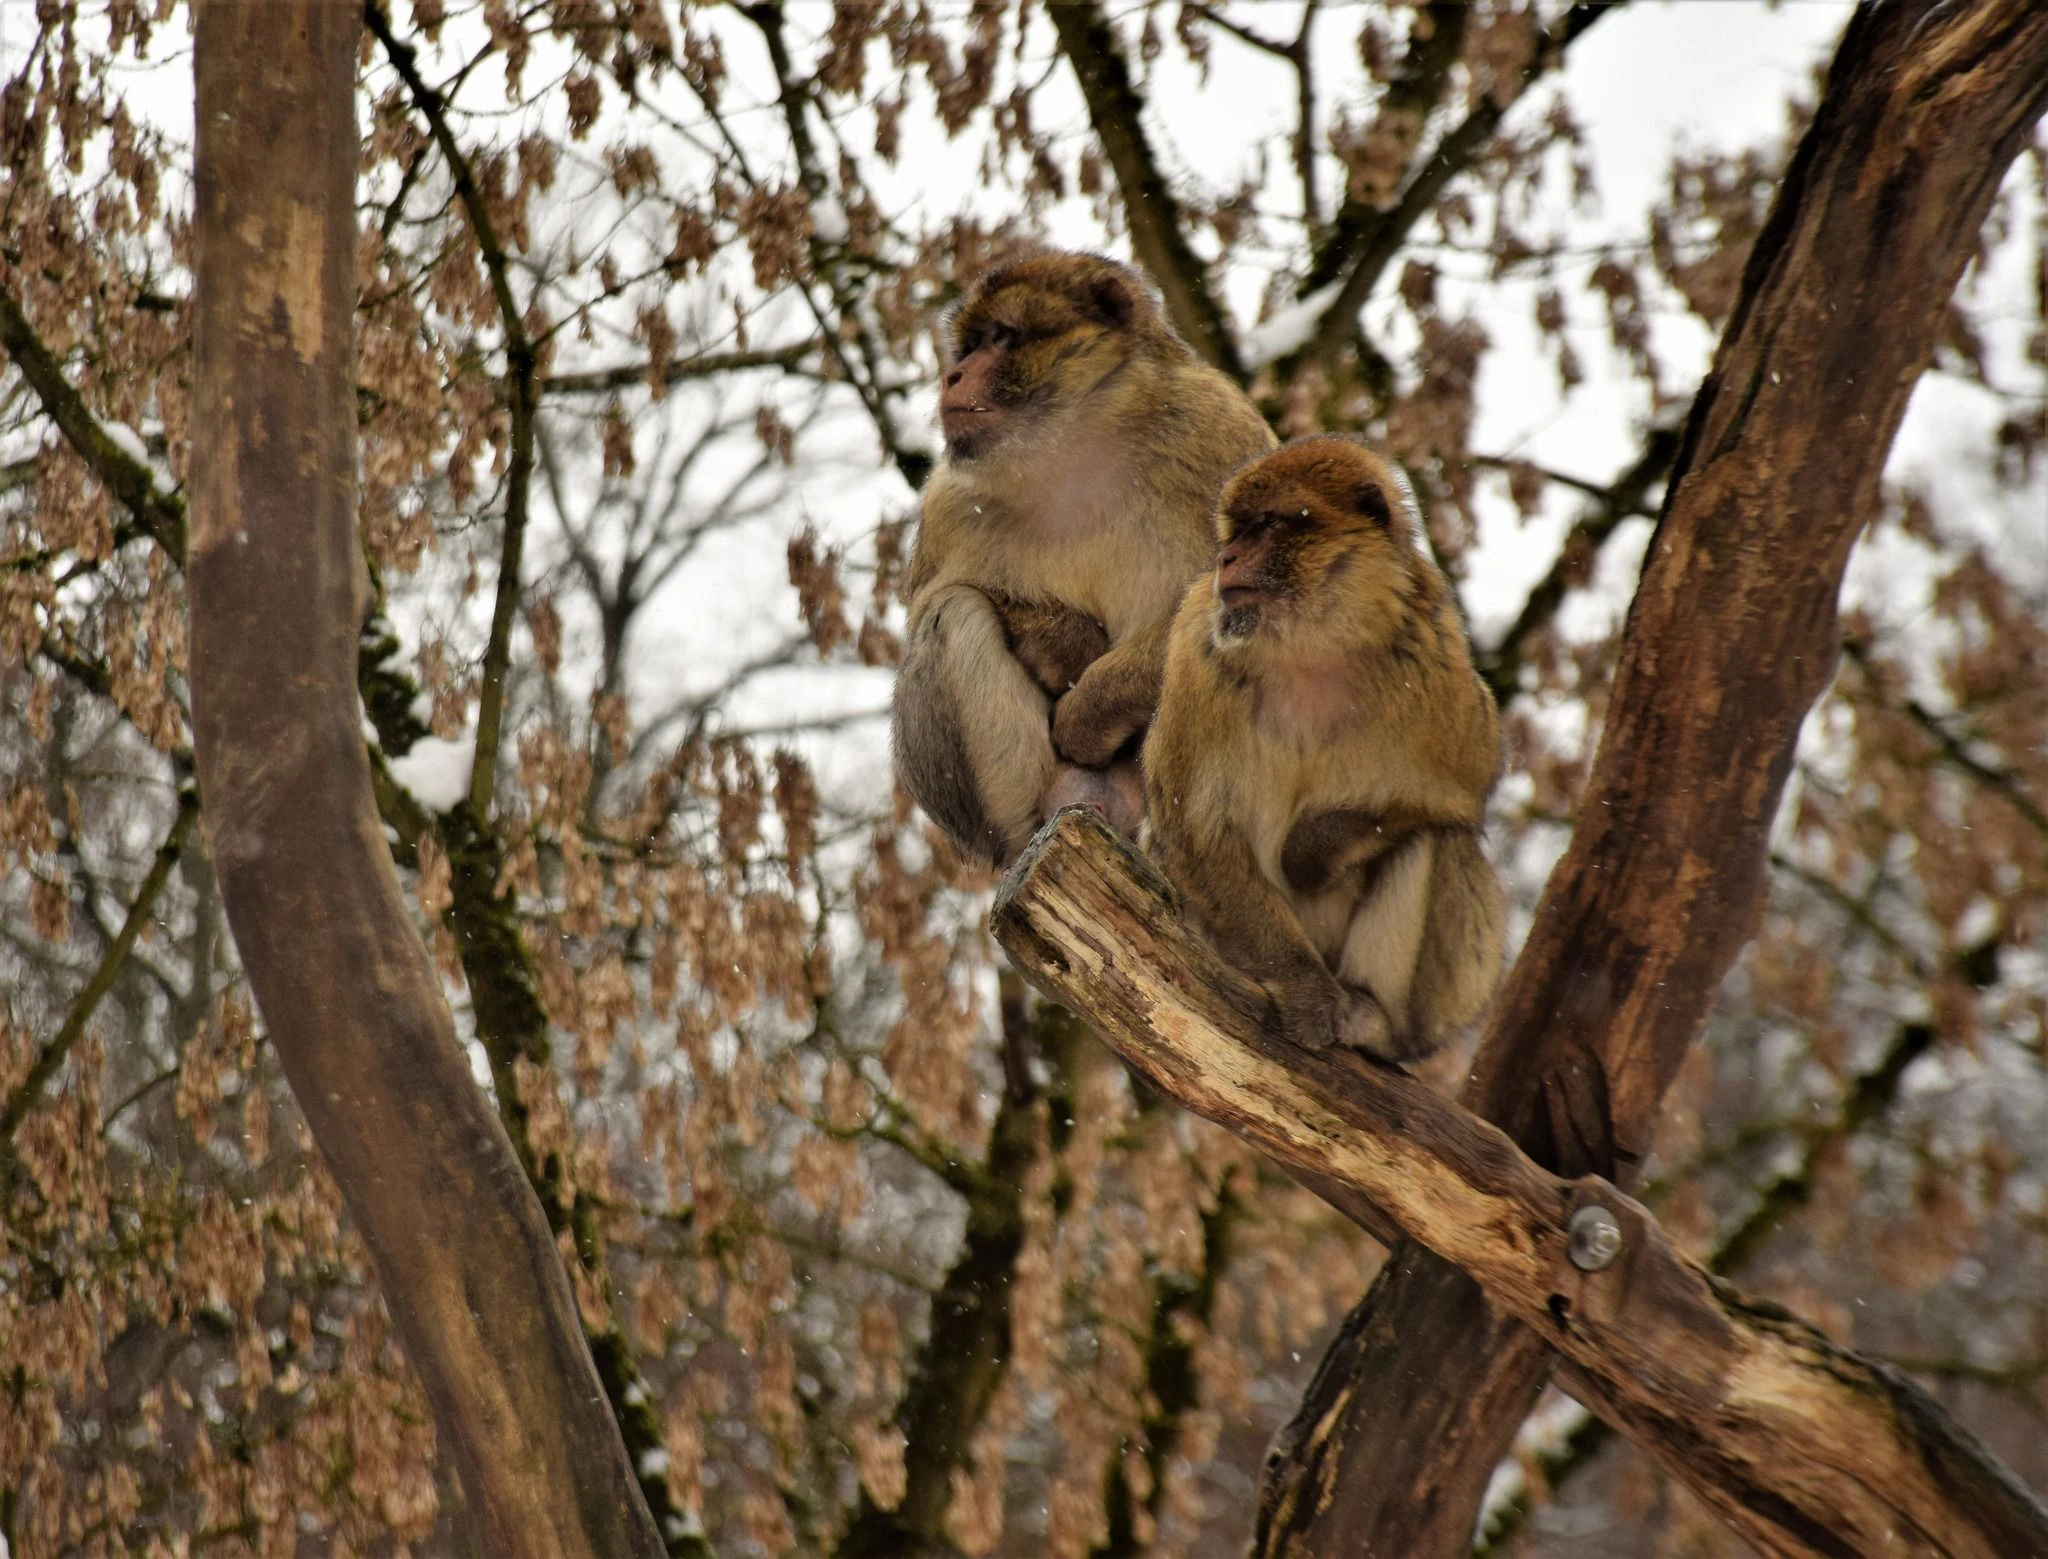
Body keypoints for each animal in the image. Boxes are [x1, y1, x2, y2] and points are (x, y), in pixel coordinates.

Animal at [890, 251, 1276, 866]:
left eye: (1001, 337)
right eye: (970, 345)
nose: (952, 376)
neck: (1076, 448)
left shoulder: (1215, 431)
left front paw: (1087, 710)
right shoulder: (949, 502)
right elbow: (934, 604)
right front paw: (1066, 643)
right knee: (951, 611)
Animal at [1143, 437, 1505, 1062]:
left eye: (1268, 525)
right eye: (1236, 530)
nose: (1225, 559)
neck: (1312, 643)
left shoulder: (1432, 653)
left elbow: (1464, 788)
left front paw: (1311, 850)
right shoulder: (1197, 650)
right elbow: (1196, 829)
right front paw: (1303, 987)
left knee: (1435, 839)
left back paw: (1373, 1018)